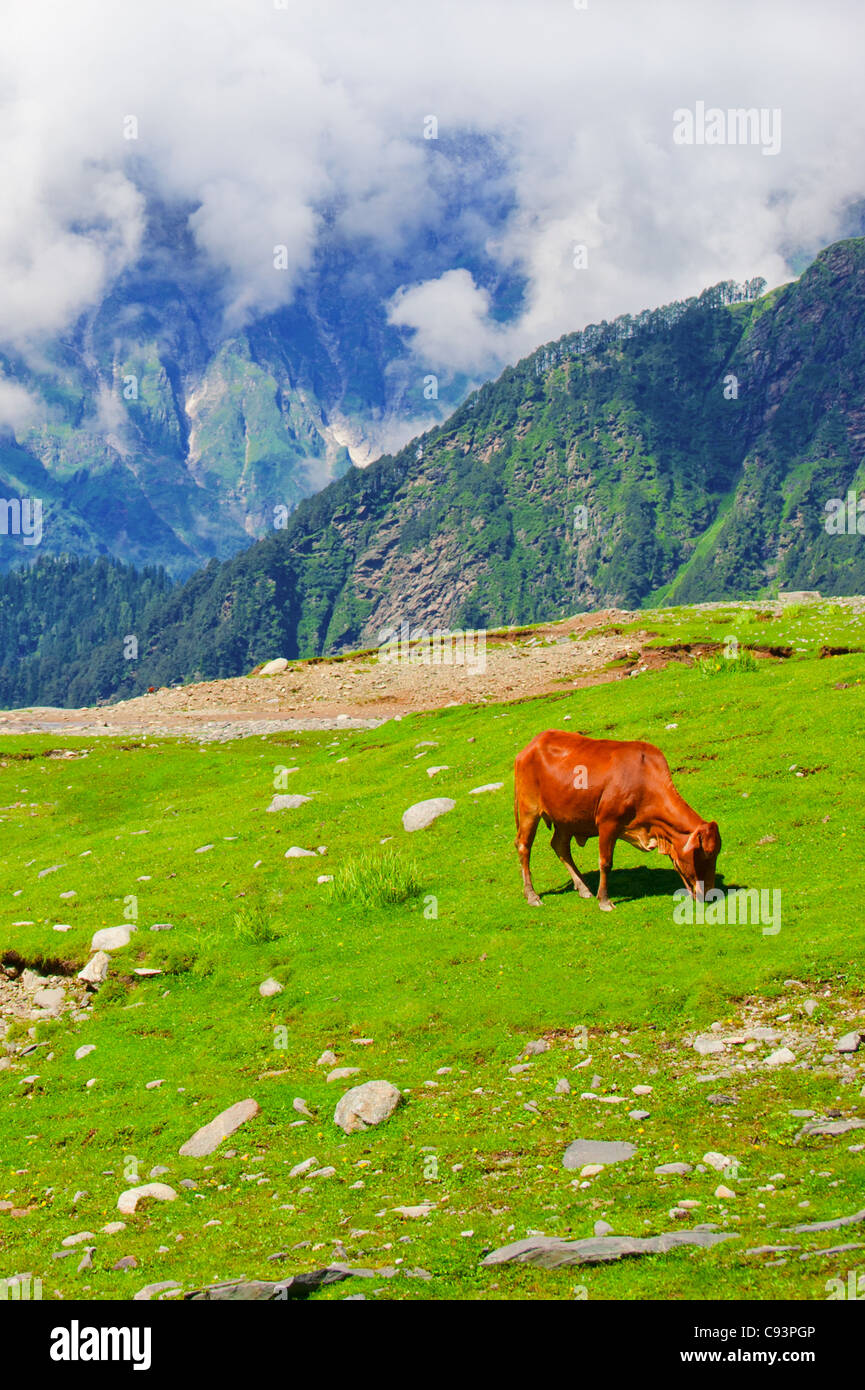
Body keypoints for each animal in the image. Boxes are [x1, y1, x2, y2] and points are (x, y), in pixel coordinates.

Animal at [514, 729, 721, 911]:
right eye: (706, 854)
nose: (711, 893)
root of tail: (532, 745)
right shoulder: (608, 823)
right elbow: (605, 862)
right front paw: (605, 901)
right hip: (529, 810)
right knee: (524, 846)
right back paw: (532, 895)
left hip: (566, 817)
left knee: (560, 846)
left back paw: (583, 888)